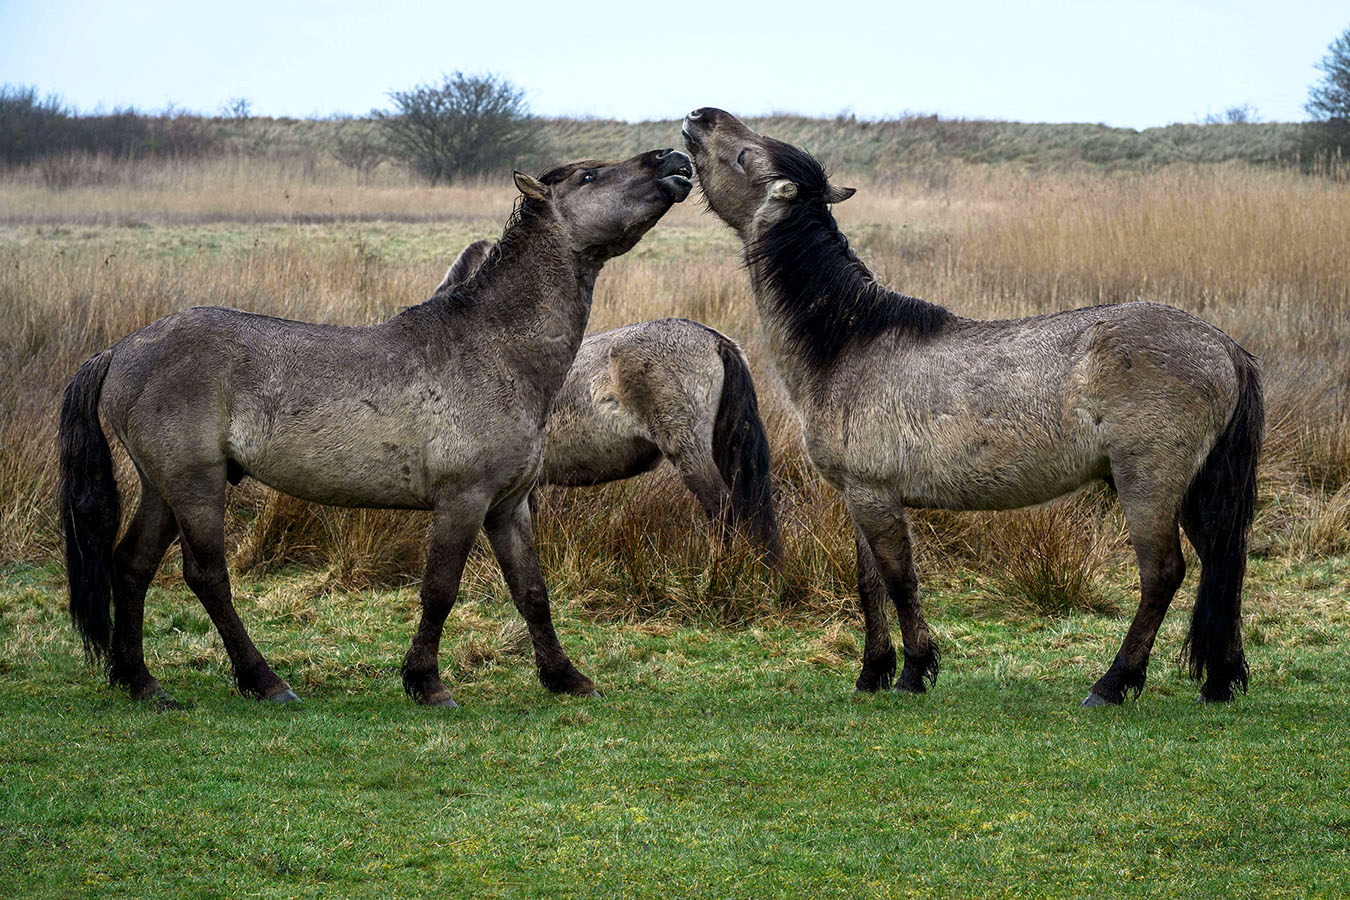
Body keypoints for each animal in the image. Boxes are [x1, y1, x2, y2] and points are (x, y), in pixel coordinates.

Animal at [59, 149, 694, 708]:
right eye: (590, 175)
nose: (674, 160)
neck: (497, 349)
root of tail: (121, 349)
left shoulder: (508, 505)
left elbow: (532, 593)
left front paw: (566, 678)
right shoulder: (463, 500)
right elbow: (439, 589)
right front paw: (426, 684)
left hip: (163, 487)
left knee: (131, 565)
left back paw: (140, 683)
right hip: (195, 484)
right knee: (207, 575)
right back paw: (264, 682)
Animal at [682, 108, 1263, 706]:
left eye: (746, 155)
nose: (699, 117)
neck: (848, 342)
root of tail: (1225, 347)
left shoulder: (875, 496)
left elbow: (899, 581)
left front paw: (913, 671)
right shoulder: (860, 496)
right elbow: (868, 583)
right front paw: (872, 672)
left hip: (1149, 483)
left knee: (1163, 573)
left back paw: (1113, 682)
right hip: (1196, 489)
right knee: (1222, 563)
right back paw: (1219, 680)